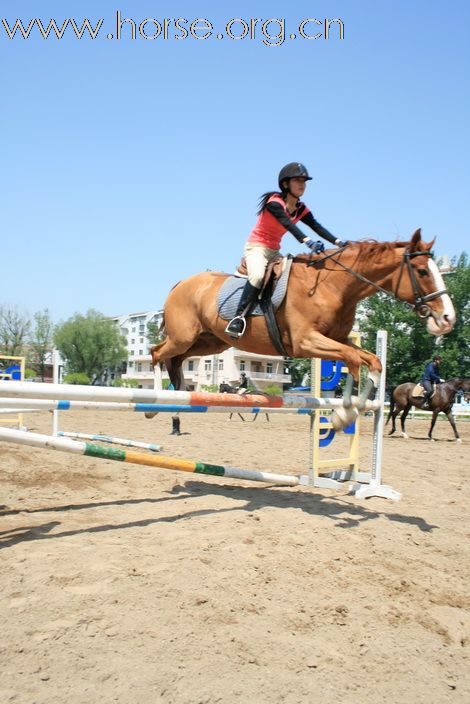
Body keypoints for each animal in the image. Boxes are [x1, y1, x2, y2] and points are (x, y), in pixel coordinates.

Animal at [149, 231, 454, 428]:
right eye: (422, 271)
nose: (447, 318)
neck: (334, 286)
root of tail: (180, 284)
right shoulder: (306, 341)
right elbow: (354, 361)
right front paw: (344, 413)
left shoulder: (337, 339)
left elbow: (372, 360)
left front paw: (356, 405)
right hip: (184, 337)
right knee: (156, 353)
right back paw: (154, 406)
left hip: (210, 342)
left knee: (174, 359)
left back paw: (174, 406)